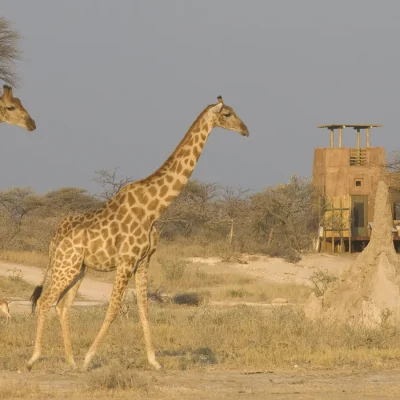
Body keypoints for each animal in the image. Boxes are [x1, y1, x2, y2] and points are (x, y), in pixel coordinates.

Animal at [26, 95, 248, 370]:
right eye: (227, 114)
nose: (245, 130)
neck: (153, 209)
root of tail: (54, 239)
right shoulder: (126, 261)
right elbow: (114, 308)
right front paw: (90, 358)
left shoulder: (143, 261)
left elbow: (144, 308)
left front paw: (154, 361)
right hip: (65, 265)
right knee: (45, 301)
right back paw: (35, 359)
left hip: (78, 268)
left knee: (63, 306)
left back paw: (71, 361)